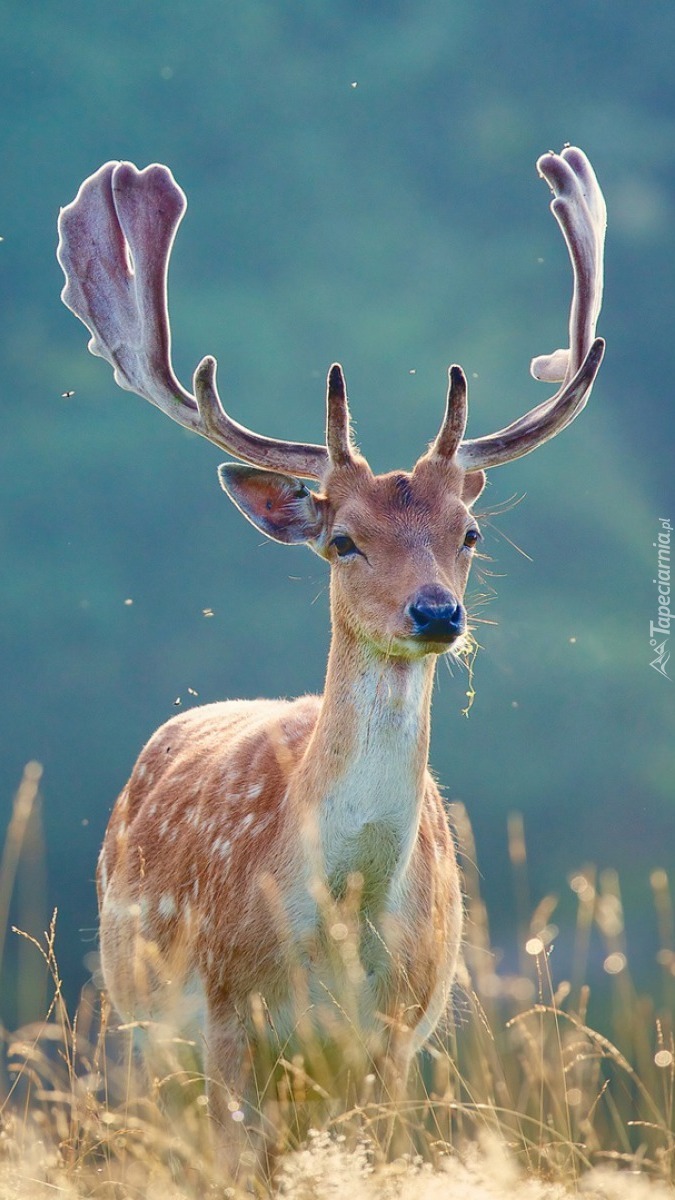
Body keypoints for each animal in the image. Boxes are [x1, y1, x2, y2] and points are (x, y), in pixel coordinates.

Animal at [57, 145, 605, 1166]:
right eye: (342, 540)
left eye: (468, 533)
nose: (436, 613)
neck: (337, 928)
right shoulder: (224, 1019)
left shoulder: (392, 1039)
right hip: (136, 1025)